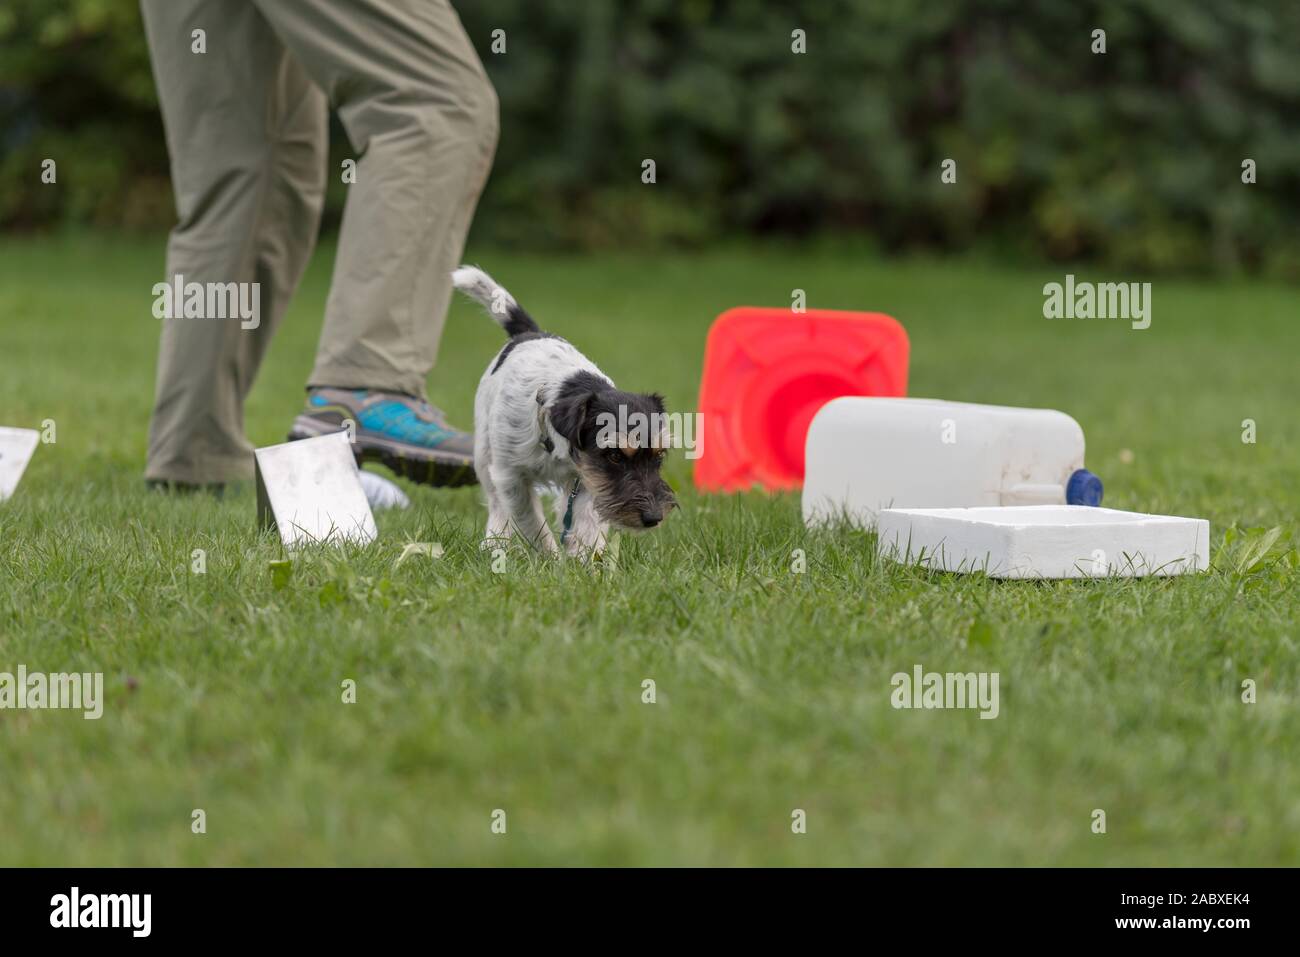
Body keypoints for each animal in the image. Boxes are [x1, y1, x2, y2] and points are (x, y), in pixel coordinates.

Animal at [449, 265, 676, 556]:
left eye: (659, 456)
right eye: (615, 455)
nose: (653, 518)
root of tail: (530, 333)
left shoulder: (588, 478)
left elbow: (587, 524)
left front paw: (585, 559)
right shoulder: (510, 476)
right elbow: (530, 520)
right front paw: (549, 556)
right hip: (484, 453)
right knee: (497, 504)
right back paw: (493, 542)